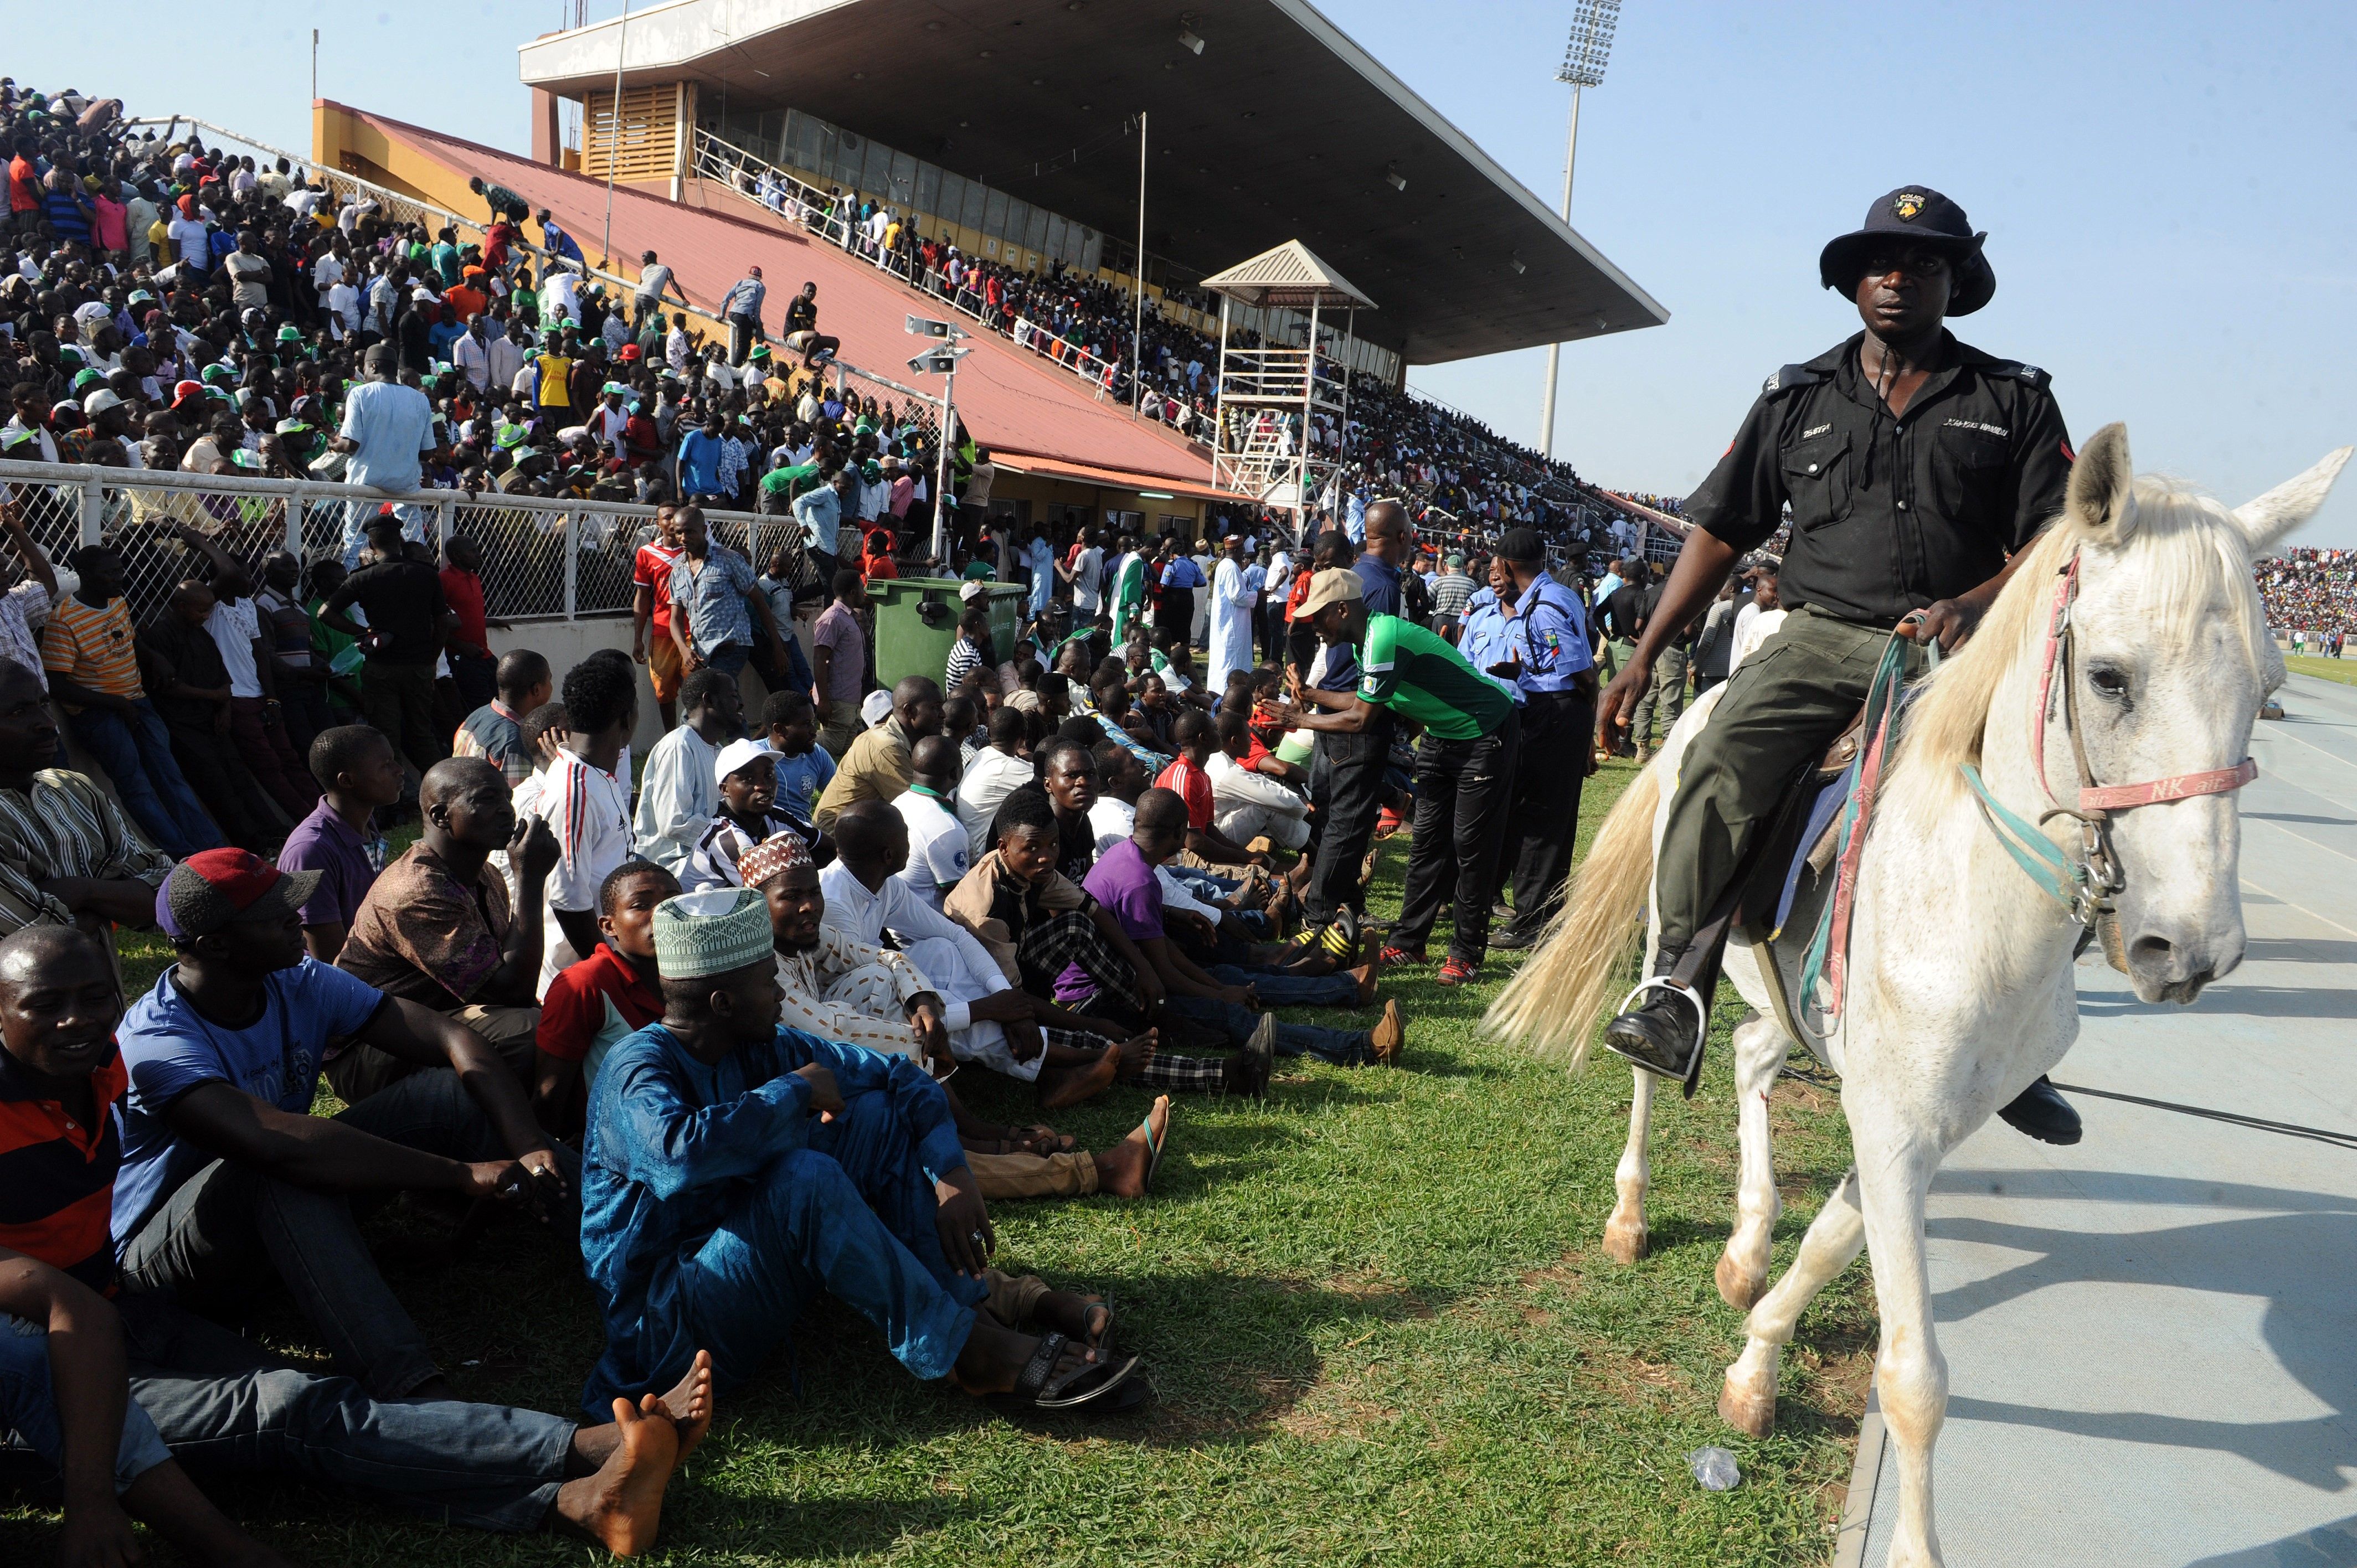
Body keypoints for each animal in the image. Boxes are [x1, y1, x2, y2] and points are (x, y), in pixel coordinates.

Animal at [1499, 422, 2347, 1556]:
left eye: (2265, 691)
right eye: (2110, 679)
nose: (2192, 951)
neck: (1980, 904)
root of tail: (1708, 700)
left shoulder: (1918, 1121)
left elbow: (1827, 1246)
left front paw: (1754, 1357)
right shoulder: (1897, 1126)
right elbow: (1915, 1376)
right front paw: (1910, 1544)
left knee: (1750, 1058)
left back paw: (1746, 1238)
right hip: (1663, 931)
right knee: (1650, 1057)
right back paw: (1632, 1208)